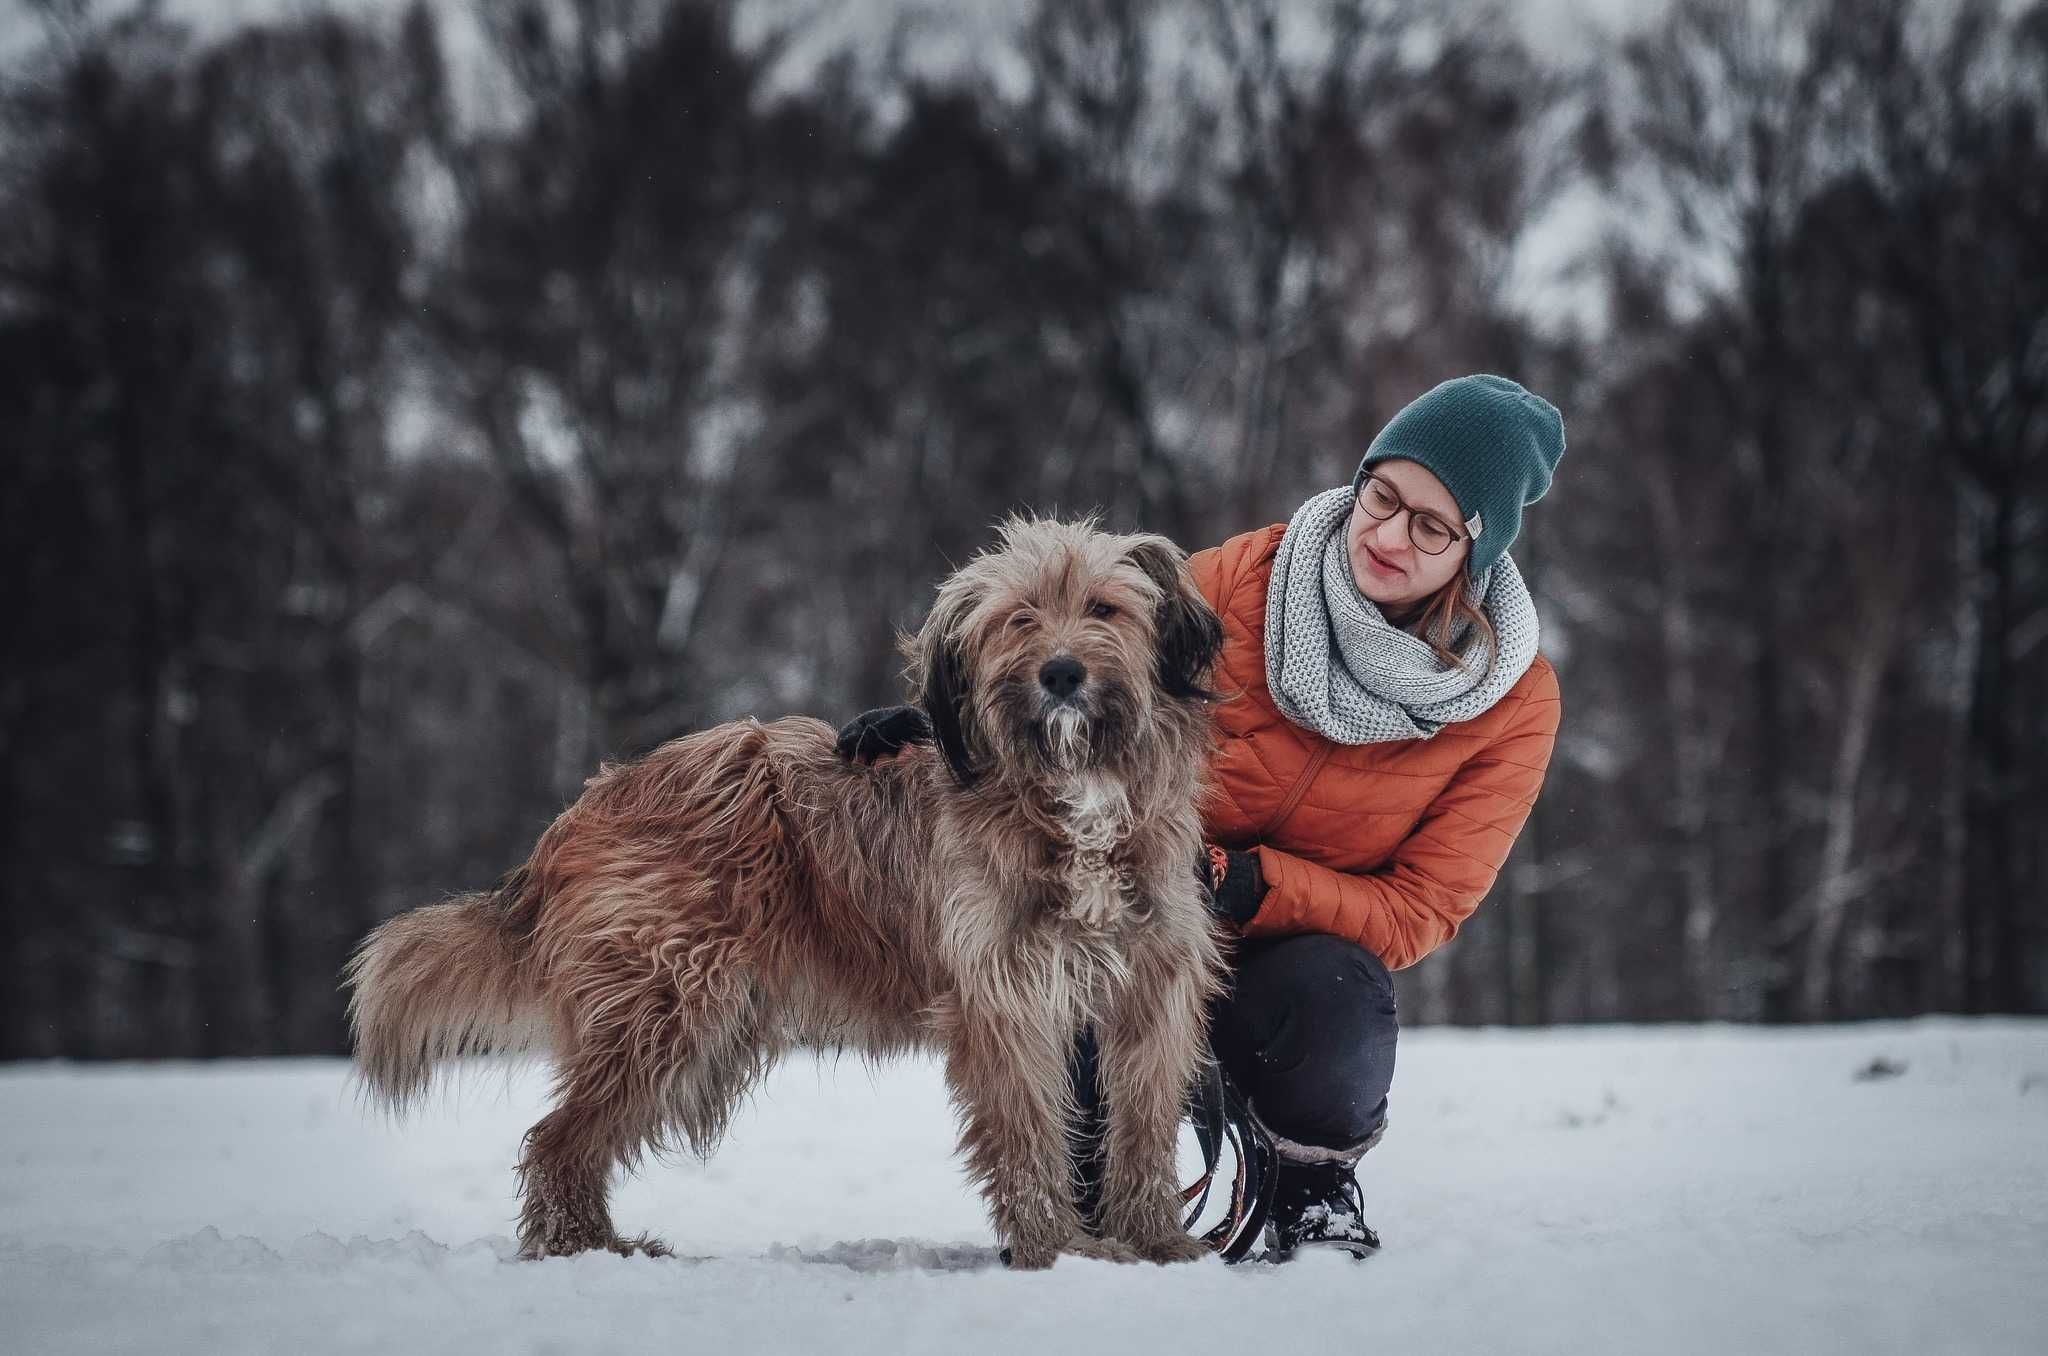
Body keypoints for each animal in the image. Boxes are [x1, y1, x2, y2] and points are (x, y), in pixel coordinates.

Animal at [344, 522, 1220, 1278]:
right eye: (1019, 619)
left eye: (1104, 608)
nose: (1062, 673)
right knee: (560, 1138)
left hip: (699, 1023)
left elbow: (1143, 1126)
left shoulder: (1151, 989)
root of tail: (586, 807)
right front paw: (1061, 1250)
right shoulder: (1004, 997)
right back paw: (584, 1250)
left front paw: (1159, 1242)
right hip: (669, 1007)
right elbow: (1031, 1132)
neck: (1074, 795)